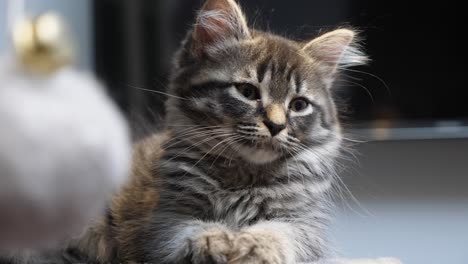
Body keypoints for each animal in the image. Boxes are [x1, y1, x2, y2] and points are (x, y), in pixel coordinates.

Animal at [6, 0, 370, 264]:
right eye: (247, 92)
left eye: (298, 105)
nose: (276, 125)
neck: (243, 175)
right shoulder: (161, 220)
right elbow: (187, 231)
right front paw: (214, 241)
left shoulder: (304, 223)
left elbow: (280, 233)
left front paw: (255, 246)